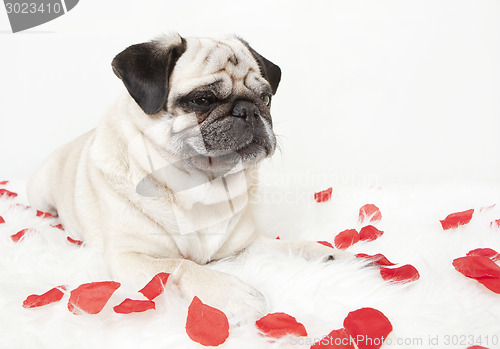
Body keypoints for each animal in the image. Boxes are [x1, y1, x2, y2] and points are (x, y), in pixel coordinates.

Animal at [27, 33, 348, 316]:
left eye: (265, 98)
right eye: (202, 100)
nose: (249, 110)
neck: (203, 184)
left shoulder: (244, 245)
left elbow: (285, 246)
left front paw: (327, 255)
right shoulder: (130, 258)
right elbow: (179, 266)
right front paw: (231, 291)